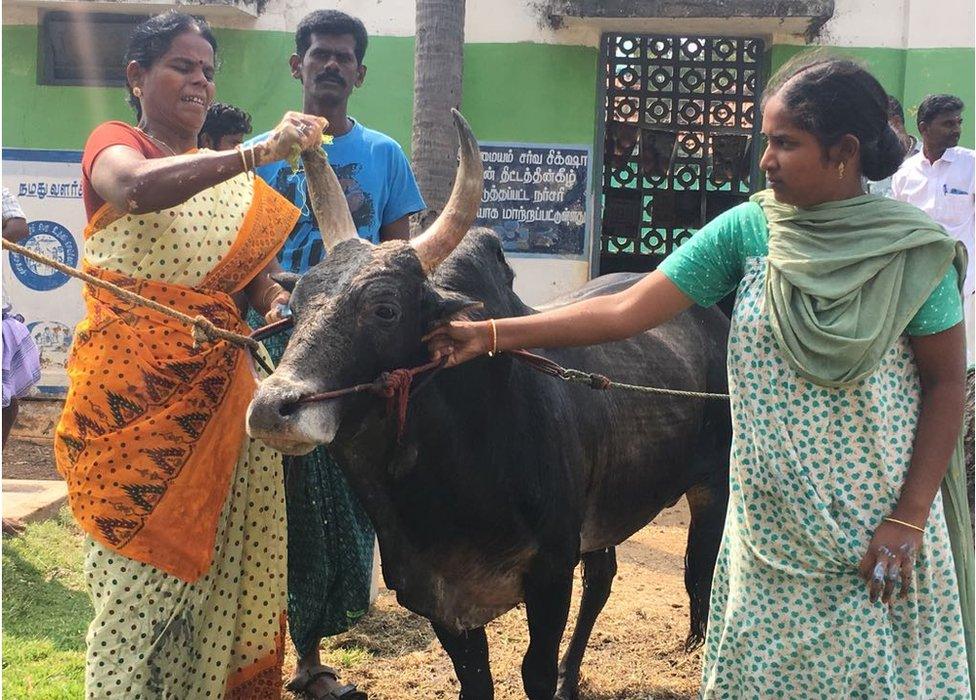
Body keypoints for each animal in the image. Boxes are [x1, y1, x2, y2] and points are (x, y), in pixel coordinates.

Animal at [246, 112, 732, 696]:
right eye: (294, 308)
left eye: (385, 309)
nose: (273, 407)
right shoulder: (434, 596)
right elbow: (475, 681)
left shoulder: (550, 574)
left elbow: (533, 672)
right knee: (603, 579)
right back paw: (574, 675)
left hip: (713, 484)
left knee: (698, 567)